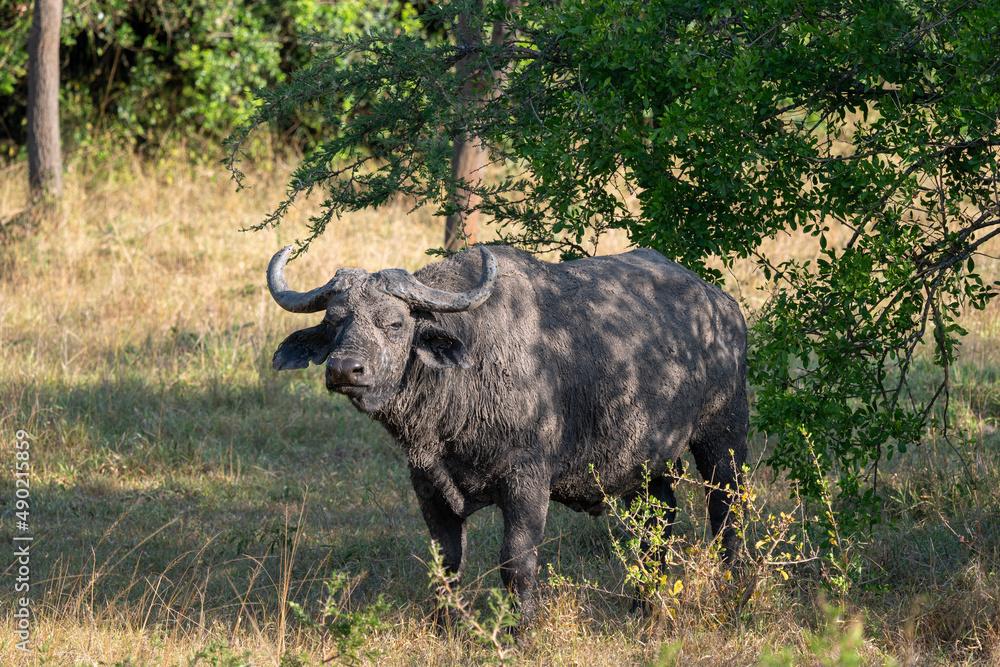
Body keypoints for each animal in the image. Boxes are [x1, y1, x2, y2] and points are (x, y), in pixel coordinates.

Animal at [266, 244, 744, 620]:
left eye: (395, 323)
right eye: (334, 323)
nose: (344, 369)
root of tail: (722, 306)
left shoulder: (527, 482)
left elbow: (516, 563)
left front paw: (520, 631)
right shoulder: (427, 483)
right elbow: (447, 562)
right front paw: (445, 626)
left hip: (723, 437)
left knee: (726, 514)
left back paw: (734, 595)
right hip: (645, 463)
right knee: (657, 521)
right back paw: (643, 605)